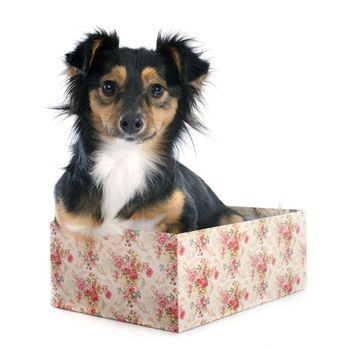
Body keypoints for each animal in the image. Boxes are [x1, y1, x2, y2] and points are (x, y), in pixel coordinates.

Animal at [54, 30, 246, 238]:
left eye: (157, 89)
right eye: (108, 86)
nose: (131, 122)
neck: (124, 159)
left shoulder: (181, 214)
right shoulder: (71, 226)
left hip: (233, 217)